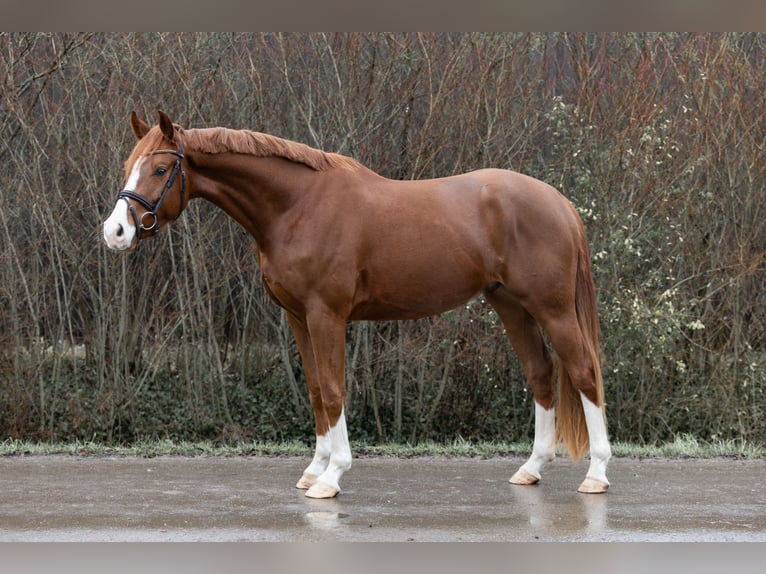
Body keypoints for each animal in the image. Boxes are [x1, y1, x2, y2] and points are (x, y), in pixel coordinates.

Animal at [105, 112, 616, 500]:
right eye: (128, 164)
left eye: (159, 169)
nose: (115, 232)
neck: (297, 206)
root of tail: (559, 203)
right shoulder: (297, 317)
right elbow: (315, 390)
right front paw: (314, 469)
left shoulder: (326, 315)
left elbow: (334, 390)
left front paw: (332, 477)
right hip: (510, 304)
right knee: (541, 373)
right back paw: (531, 468)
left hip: (552, 309)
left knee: (584, 373)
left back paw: (596, 474)